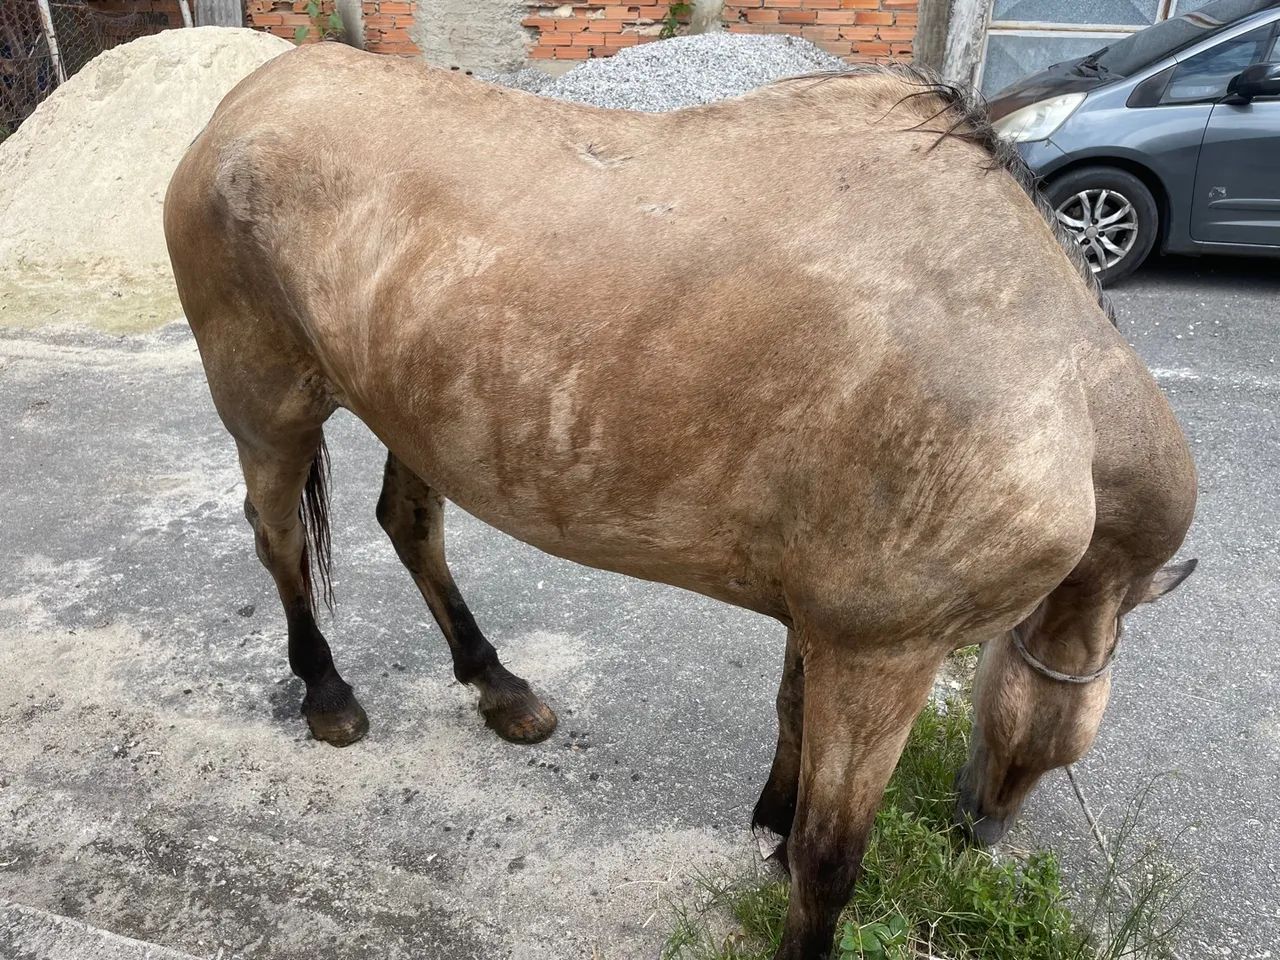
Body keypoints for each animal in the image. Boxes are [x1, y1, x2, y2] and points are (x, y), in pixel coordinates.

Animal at [163, 44, 1197, 959]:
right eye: (1042, 750)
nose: (977, 833)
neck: (1047, 374)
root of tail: (239, 105)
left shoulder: (825, 622)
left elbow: (791, 718)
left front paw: (770, 827)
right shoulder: (883, 656)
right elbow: (832, 864)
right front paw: (794, 856)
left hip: (411, 411)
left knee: (409, 529)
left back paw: (501, 689)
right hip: (269, 409)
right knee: (279, 541)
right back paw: (327, 695)